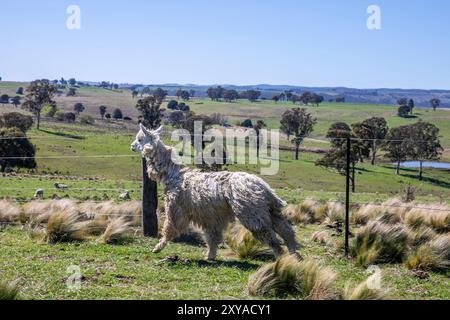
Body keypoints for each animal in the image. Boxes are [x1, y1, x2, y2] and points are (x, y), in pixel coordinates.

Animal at [130, 124, 298, 262]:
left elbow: (169, 228)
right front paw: (210, 256)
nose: (132, 146)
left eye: (140, 139)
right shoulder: (209, 216)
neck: (174, 175)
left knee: (270, 236)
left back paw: (281, 259)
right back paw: (295, 257)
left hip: (252, 212)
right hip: (268, 209)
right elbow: (212, 237)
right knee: (286, 230)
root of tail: (264, 187)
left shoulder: (175, 208)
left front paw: (158, 248)